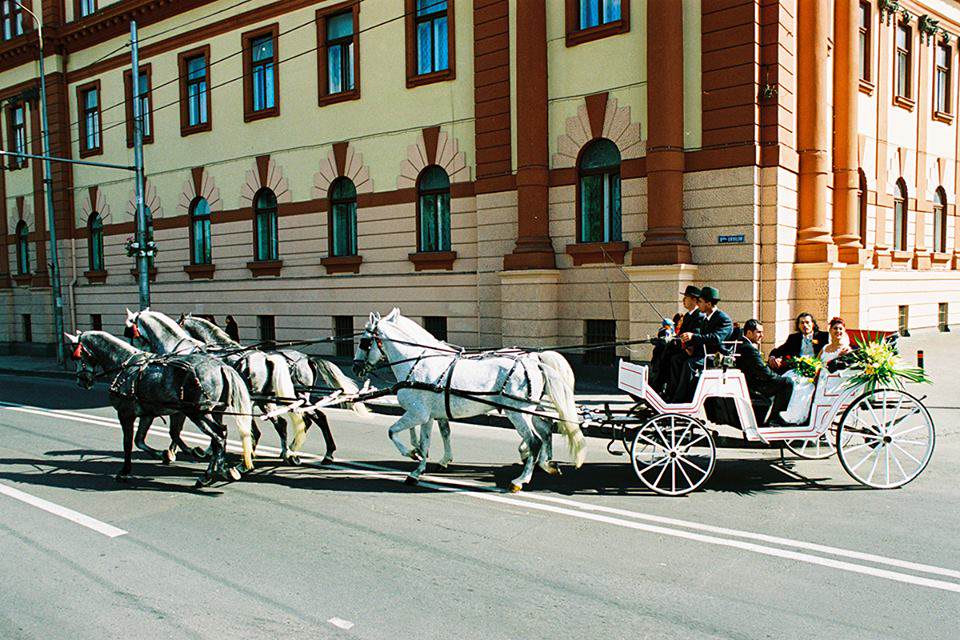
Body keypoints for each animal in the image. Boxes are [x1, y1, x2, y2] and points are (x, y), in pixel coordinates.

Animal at [65, 330, 253, 484]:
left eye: (77, 356)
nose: (81, 381)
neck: (126, 365)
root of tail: (221, 366)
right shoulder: (147, 414)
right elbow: (140, 440)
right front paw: (164, 454)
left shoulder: (125, 414)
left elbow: (128, 443)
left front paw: (125, 471)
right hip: (208, 411)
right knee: (220, 434)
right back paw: (221, 469)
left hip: (197, 413)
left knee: (219, 435)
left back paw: (208, 475)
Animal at [122, 308, 306, 462]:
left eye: (130, 330)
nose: (134, 354)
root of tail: (267, 358)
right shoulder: (214, 405)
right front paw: (210, 449)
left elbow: (178, 431)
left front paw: (174, 452)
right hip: (263, 400)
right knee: (278, 424)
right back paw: (283, 453)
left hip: (259, 401)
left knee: (275, 424)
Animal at [178, 312, 370, 462]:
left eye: (180, 324)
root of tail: (308, 358)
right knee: (312, 418)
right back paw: (303, 450)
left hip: (296, 397)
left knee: (314, 418)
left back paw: (311, 452)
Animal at [354, 308, 584, 490]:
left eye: (364, 342)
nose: (356, 367)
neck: (418, 362)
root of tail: (533, 360)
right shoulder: (427, 417)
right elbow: (426, 441)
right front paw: (417, 470)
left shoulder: (416, 414)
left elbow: (392, 432)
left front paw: (411, 453)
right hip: (530, 410)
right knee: (545, 429)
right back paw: (546, 464)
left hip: (517, 413)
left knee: (534, 440)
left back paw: (521, 479)